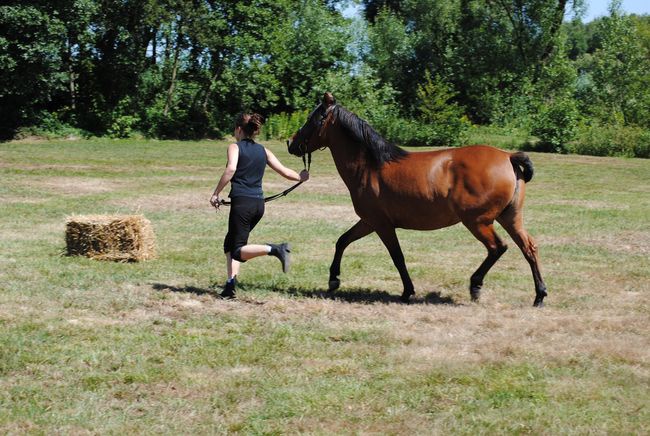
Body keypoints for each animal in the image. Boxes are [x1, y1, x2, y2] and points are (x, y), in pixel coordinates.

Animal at [286, 92, 544, 306]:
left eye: (312, 119)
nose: (291, 143)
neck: (370, 166)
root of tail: (508, 156)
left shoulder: (381, 224)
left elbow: (397, 257)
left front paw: (407, 291)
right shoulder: (368, 222)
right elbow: (342, 241)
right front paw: (333, 280)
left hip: (478, 221)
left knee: (497, 248)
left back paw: (476, 285)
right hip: (510, 217)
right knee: (528, 248)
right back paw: (539, 296)